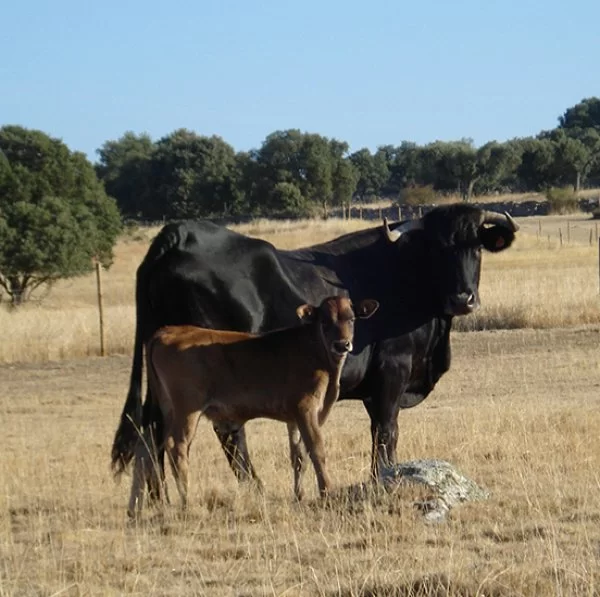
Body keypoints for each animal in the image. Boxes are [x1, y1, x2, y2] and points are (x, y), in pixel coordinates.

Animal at [110, 203, 516, 486]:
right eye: (437, 250)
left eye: (476, 248)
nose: (463, 299)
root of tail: (180, 235)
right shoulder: (392, 372)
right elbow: (386, 433)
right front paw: (382, 480)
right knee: (227, 434)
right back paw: (253, 488)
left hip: (163, 385)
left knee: (153, 431)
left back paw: (155, 498)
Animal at [128, 296, 378, 516]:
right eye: (325, 322)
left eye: (351, 318)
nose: (342, 344)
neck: (317, 353)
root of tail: (168, 331)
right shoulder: (306, 409)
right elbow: (316, 450)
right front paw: (326, 492)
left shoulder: (294, 417)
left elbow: (298, 455)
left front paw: (299, 495)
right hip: (187, 409)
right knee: (176, 446)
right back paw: (186, 502)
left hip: (164, 410)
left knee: (145, 445)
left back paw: (135, 508)